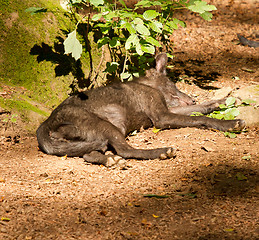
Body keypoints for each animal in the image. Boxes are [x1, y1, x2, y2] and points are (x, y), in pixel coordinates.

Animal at [36, 53, 246, 167]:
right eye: (174, 85)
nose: (191, 97)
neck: (146, 85)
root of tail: (44, 125)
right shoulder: (161, 117)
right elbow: (201, 119)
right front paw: (231, 123)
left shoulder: (167, 111)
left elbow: (201, 108)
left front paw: (225, 101)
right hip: (107, 126)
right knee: (126, 150)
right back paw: (162, 151)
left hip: (94, 138)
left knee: (90, 154)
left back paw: (111, 161)